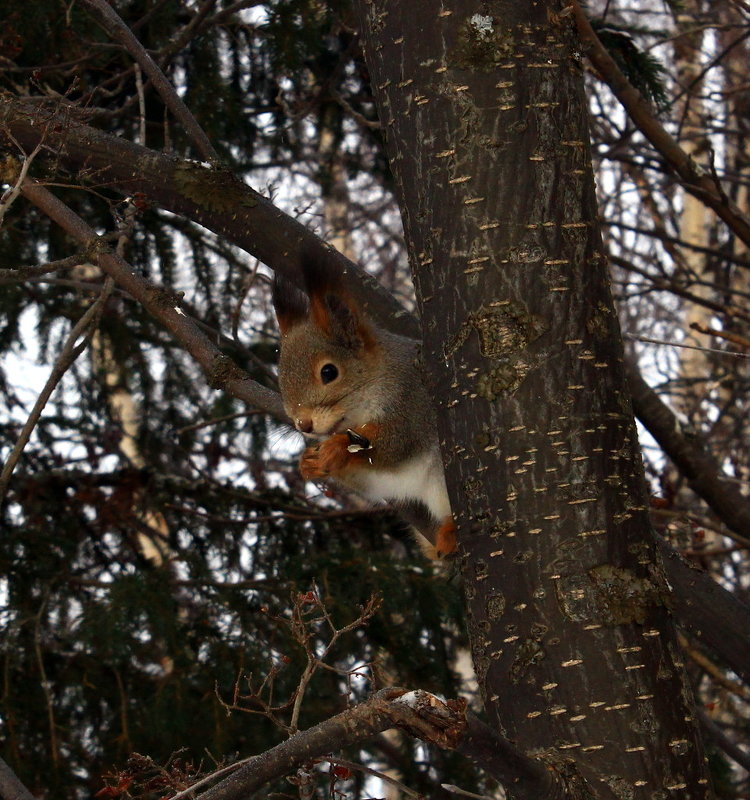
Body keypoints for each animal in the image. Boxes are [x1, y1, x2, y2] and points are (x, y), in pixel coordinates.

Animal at [272, 260, 458, 560]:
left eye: (329, 372)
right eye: (280, 377)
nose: (304, 425)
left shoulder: (414, 406)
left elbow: (395, 443)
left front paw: (338, 447)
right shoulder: (385, 480)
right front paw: (308, 462)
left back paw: (451, 533)